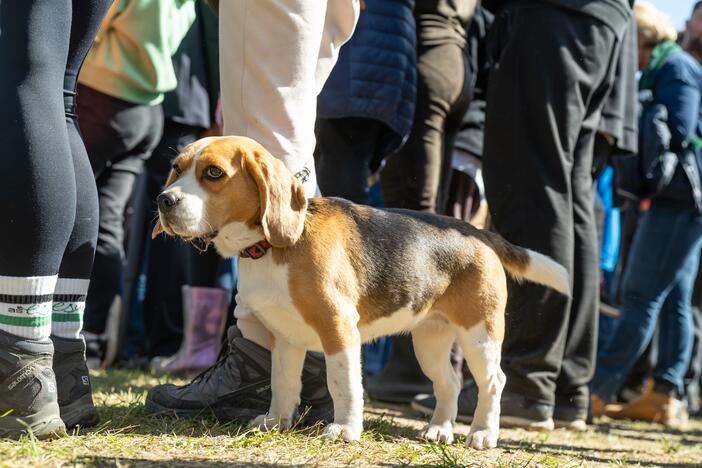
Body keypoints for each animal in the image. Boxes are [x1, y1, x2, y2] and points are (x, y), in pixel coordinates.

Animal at [154, 135, 572, 450]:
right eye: (176, 169)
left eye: (214, 173)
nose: (164, 201)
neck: (270, 247)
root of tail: (476, 232)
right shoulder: (286, 337)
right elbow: (282, 384)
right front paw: (276, 422)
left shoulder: (338, 328)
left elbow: (343, 384)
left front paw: (345, 429)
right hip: (430, 340)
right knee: (449, 383)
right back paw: (440, 429)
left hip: (479, 335)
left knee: (493, 382)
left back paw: (483, 433)